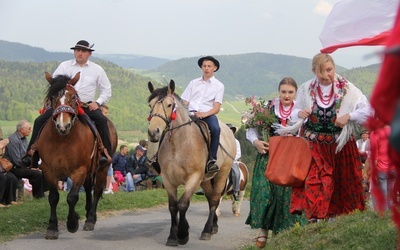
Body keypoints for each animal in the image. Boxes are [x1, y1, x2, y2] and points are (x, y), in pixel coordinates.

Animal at [34, 73, 117, 240]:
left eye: (73, 97)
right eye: (52, 97)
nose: (63, 125)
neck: (62, 140)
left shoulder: (79, 170)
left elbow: (72, 197)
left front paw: (72, 223)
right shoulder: (48, 170)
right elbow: (53, 197)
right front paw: (52, 227)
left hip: (102, 168)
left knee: (96, 190)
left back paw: (90, 219)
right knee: (89, 187)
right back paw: (89, 213)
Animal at [147, 80, 236, 246]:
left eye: (169, 105)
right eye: (150, 104)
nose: (153, 132)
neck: (178, 145)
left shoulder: (193, 178)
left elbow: (183, 204)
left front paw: (183, 234)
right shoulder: (168, 180)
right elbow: (173, 206)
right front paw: (172, 236)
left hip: (221, 174)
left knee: (214, 200)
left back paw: (207, 231)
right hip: (206, 180)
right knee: (210, 198)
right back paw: (213, 226)